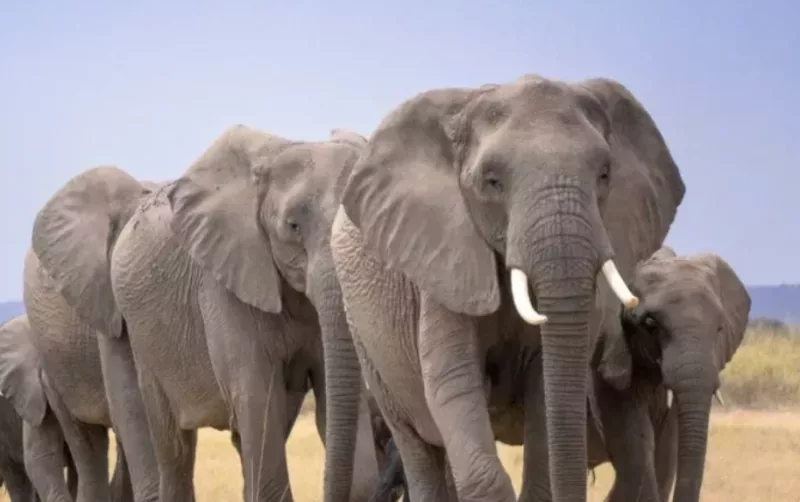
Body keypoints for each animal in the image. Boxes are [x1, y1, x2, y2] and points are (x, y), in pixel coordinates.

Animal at [109, 125, 396, 501]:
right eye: (293, 226)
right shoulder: (223, 283)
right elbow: (256, 397)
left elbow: (334, 393)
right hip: (145, 341)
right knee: (175, 449)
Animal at [330, 74, 686, 501]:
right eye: (492, 181)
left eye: (604, 174)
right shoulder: (443, 259)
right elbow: (452, 382)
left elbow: (544, 388)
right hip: (367, 343)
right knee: (417, 444)